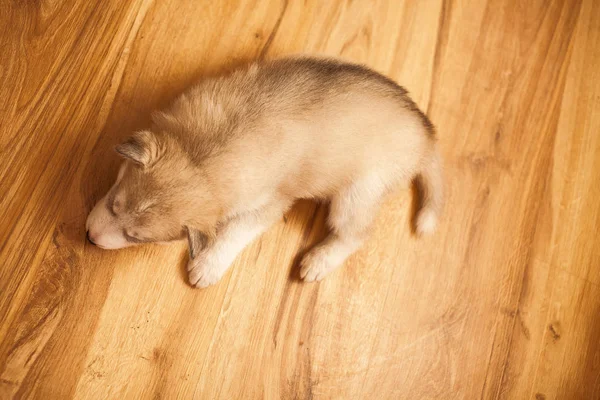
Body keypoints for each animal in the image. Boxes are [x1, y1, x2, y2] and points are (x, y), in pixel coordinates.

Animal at [85, 56, 440, 288]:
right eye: (113, 203)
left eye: (135, 237)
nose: (89, 238)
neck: (203, 158)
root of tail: (426, 136)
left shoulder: (270, 204)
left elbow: (233, 232)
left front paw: (207, 266)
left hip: (356, 194)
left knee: (356, 235)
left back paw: (318, 261)